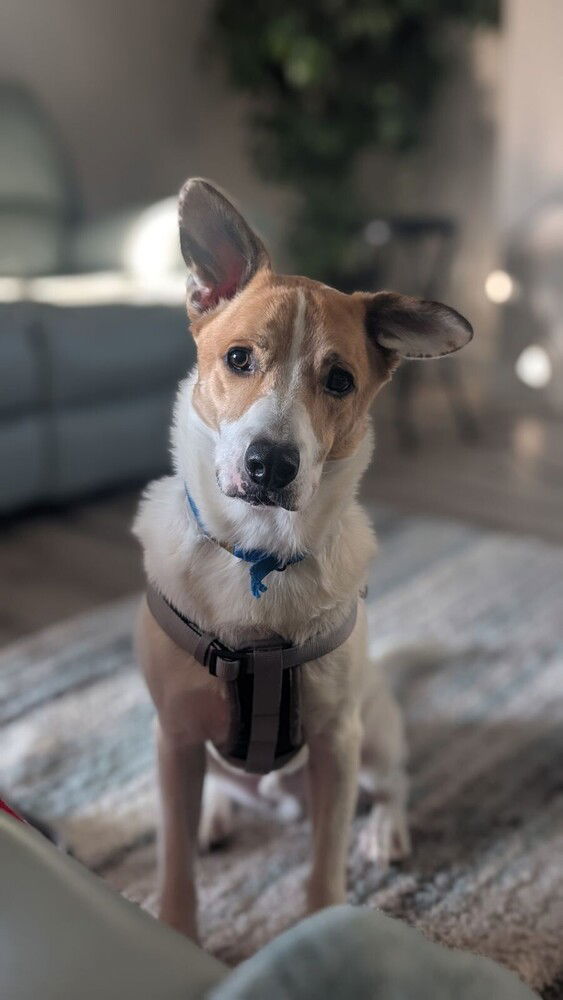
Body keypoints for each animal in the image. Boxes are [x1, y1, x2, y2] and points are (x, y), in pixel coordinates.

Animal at [134, 178, 474, 936]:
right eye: (238, 359)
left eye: (339, 380)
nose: (270, 463)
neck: (257, 553)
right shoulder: (173, 738)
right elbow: (173, 861)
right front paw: (177, 928)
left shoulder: (334, 743)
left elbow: (324, 861)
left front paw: (324, 924)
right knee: (223, 791)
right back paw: (218, 812)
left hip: (374, 737)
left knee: (393, 785)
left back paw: (385, 830)